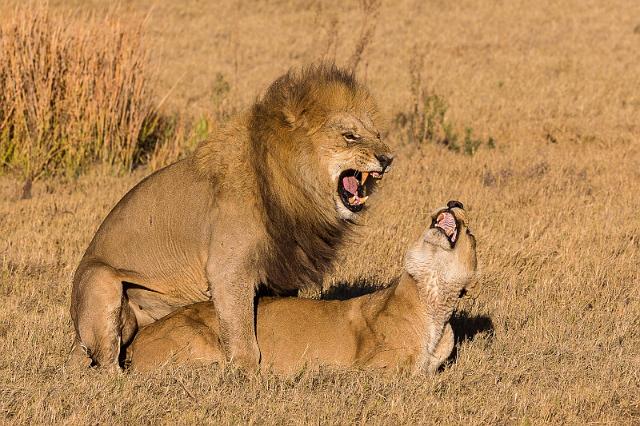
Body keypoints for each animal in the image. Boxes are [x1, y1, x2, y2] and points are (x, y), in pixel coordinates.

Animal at [67, 64, 392, 370]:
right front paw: (247, 373)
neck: (292, 189)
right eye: (350, 136)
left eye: (377, 135)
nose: (388, 159)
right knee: (106, 363)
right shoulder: (227, 269)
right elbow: (241, 331)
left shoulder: (283, 266)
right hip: (100, 279)